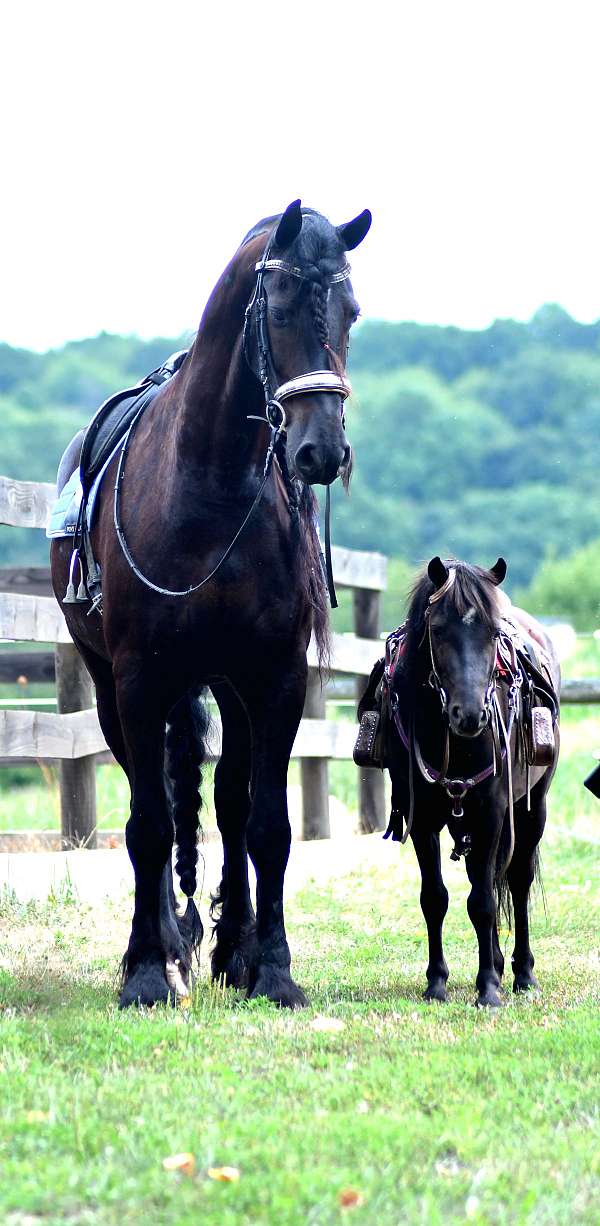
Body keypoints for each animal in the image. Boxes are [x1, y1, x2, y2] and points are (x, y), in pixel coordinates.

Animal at [50, 199, 371, 1008]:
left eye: (350, 310)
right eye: (279, 305)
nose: (322, 452)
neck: (212, 486)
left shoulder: (275, 678)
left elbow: (265, 825)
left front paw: (274, 968)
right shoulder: (139, 681)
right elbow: (150, 825)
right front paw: (143, 971)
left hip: (228, 685)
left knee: (227, 804)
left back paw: (233, 950)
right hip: (114, 688)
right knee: (160, 801)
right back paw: (173, 944)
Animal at [357, 556, 560, 1007]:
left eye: (493, 631)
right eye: (437, 629)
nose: (469, 715)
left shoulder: (493, 813)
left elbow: (483, 901)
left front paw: (488, 989)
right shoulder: (422, 819)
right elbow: (435, 897)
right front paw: (437, 982)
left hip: (532, 808)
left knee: (517, 880)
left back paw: (522, 973)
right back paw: (500, 963)